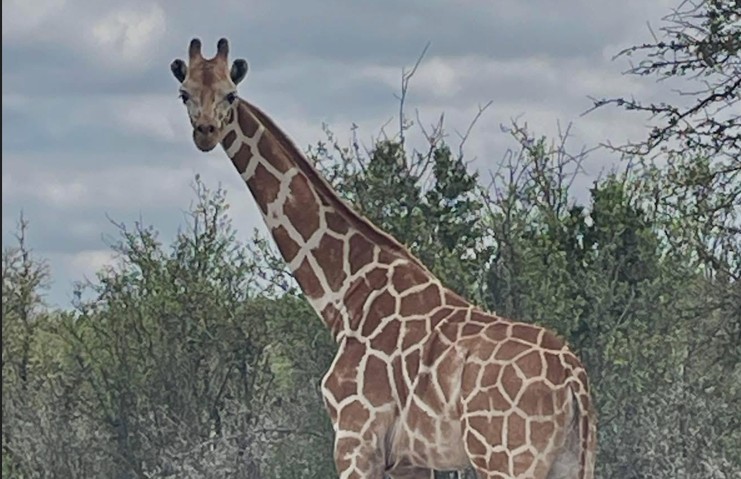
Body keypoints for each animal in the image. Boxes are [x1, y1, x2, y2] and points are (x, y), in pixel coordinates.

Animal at [170, 38, 597, 479]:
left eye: (230, 95)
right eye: (185, 93)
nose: (205, 132)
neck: (346, 295)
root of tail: (574, 380)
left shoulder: (355, 437)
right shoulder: (409, 459)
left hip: (507, 457)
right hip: (571, 460)